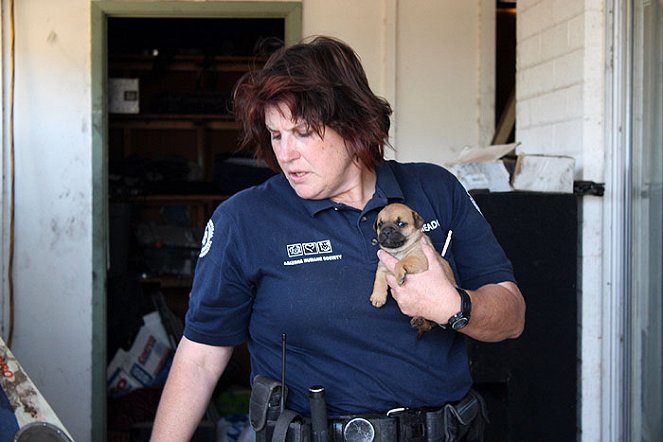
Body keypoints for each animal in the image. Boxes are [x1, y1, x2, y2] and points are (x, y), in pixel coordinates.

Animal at [368, 205, 456, 338]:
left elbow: (401, 262)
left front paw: (399, 275)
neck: (398, 251)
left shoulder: (419, 258)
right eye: (380, 224)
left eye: (401, 224)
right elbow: (378, 281)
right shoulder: (382, 267)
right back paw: (418, 321)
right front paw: (378, 297)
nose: (386, 231)